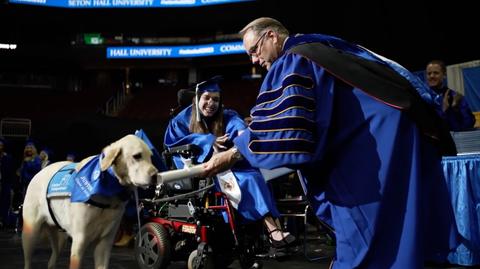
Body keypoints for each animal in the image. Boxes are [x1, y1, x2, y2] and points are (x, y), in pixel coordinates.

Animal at [22, 135, 158, 268]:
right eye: (137, 156)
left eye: (151, 157)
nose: (156, 176)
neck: (108, 189)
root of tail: (39, 172)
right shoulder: (79, 242)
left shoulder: (105, 244)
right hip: (30, 233)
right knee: (28, 261)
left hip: (59, 237)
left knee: (52, 260)